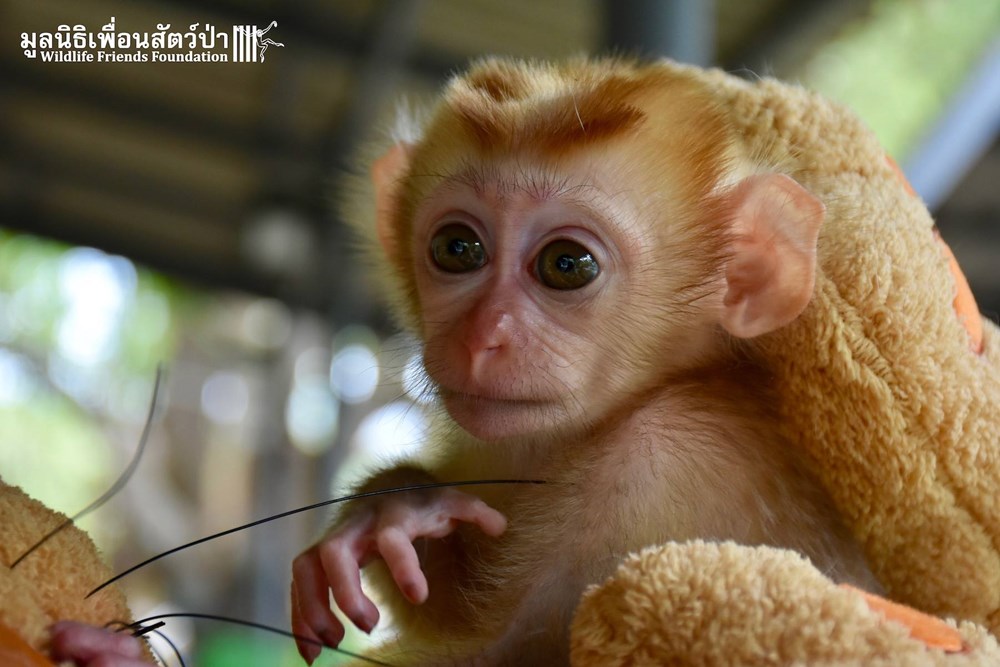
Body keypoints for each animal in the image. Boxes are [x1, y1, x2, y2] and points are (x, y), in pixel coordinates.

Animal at [292, 58, 880, 667]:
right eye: (457, 248)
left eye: (566, 264)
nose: (482, 339)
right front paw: (397, 509)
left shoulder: (662, 472)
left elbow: (524, 647)